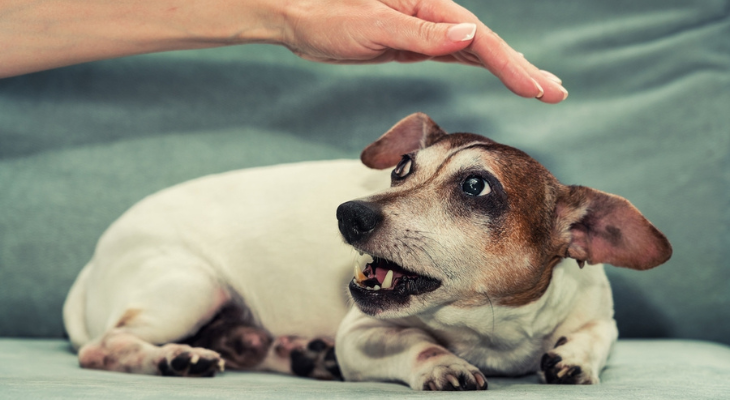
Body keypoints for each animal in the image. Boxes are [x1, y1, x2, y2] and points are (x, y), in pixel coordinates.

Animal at [64, 112, 672, 390]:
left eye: (476, 186)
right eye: (402, 168)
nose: (349, 213)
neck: (489, 328)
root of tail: (91, 264)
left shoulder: (598, 315)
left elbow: (595, 338)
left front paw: (573, 358)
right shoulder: (361, 335)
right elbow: (419, 346)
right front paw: (443, 364)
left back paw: (295, 353)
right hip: (190, 286)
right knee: (103, 347)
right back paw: (176, 357)